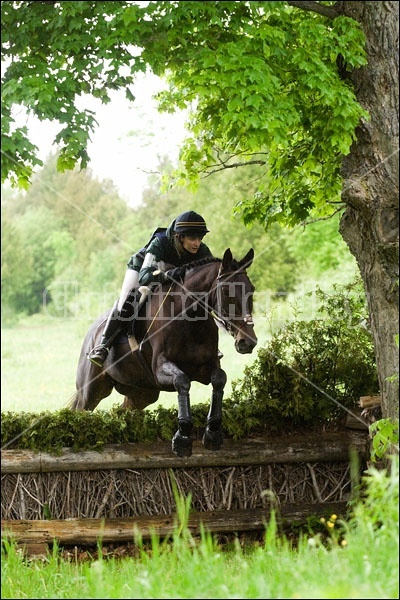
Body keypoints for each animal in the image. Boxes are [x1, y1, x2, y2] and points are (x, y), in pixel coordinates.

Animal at [70, 248, 258, 454]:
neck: (189, 318)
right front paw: (182, 437)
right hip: (91, 389)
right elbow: (182, 381)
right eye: (225, 291)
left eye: (251, 289)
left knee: (122, 410)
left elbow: (219, 379)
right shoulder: (160, 369)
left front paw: (213, 433)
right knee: (80, 409)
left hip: (142, 393)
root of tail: (92, 332)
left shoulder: (206, 366)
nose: (247, 342)